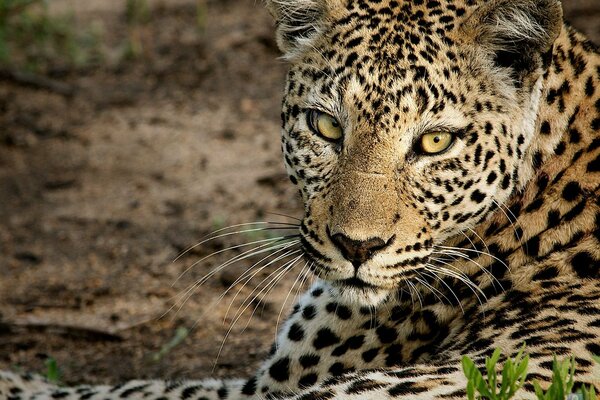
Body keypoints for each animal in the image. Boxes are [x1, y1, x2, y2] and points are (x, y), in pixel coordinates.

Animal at [1, 0, 600, 398]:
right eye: (326, 126)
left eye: (435, 142)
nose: (357, 247)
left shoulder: (264, 388)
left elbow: (137, 389)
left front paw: (15, 379)